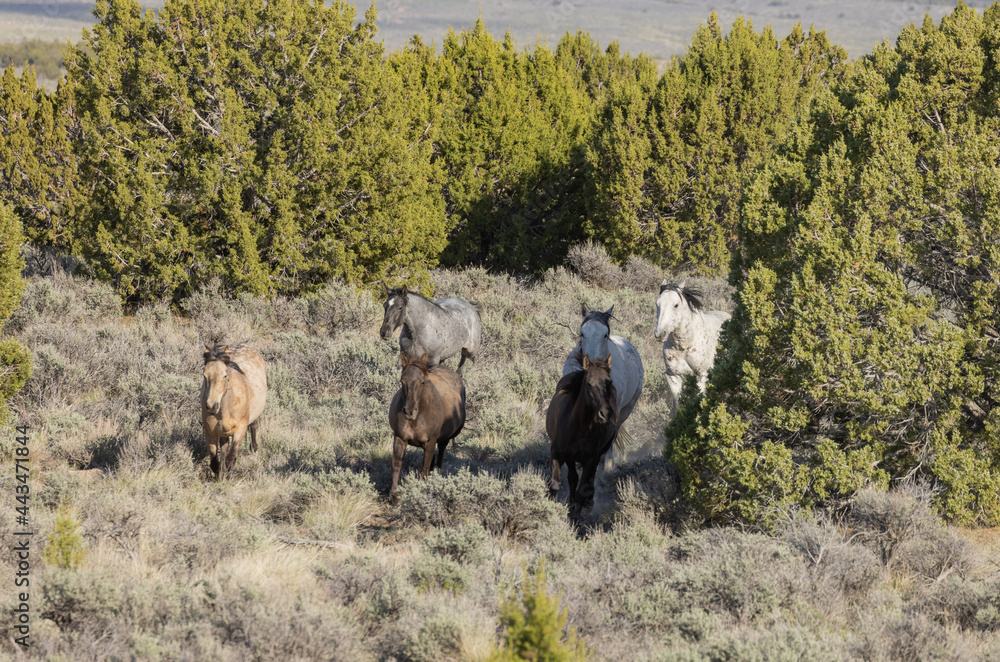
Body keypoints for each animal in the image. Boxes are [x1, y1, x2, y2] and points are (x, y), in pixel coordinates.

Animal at [201, 344, 267, 479]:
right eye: (205, 376)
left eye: (225, 375)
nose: (211, 406)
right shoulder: (210, 432)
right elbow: (214, 461)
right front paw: (220, 474)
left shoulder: (240, 429)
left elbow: (231, 458)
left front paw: (227, 474)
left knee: (253, 426)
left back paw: (254, 448)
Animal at [388, 352, 466, 503]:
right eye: (402, 381)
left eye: (422, 382)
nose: (409, 411)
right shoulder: (400, 438)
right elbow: (396, 465)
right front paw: (394, 496)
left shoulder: (430, 442)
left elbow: (424, 470)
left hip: (443, 439)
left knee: (440, 453)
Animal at [546, 353, 618, 518]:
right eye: (589, 384)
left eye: (609, 382)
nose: (606, 413)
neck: (580, 427)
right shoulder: (557, 452)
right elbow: (555, 484)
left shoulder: (591, 460)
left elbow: (582, 490)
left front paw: (575, 517)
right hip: (570, 457)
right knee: (573, 479)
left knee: (587, 483)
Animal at [654, 281, 730, 415]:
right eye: (657, 304)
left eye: (676, 305)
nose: (660, 334)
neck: (684, 346)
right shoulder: (673, 377)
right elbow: (678, 403)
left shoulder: (702, 376)